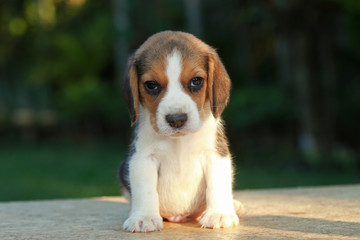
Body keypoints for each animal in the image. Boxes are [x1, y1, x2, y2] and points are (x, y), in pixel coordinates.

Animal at [119, 31, 242, 232]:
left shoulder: (215, 154)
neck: (179, 141)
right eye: (151, 84)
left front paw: (219, 214)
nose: (176, 119)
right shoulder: (142, 158)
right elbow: (145, 190)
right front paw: (144, 217)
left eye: (196, 81)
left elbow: (217, 184)